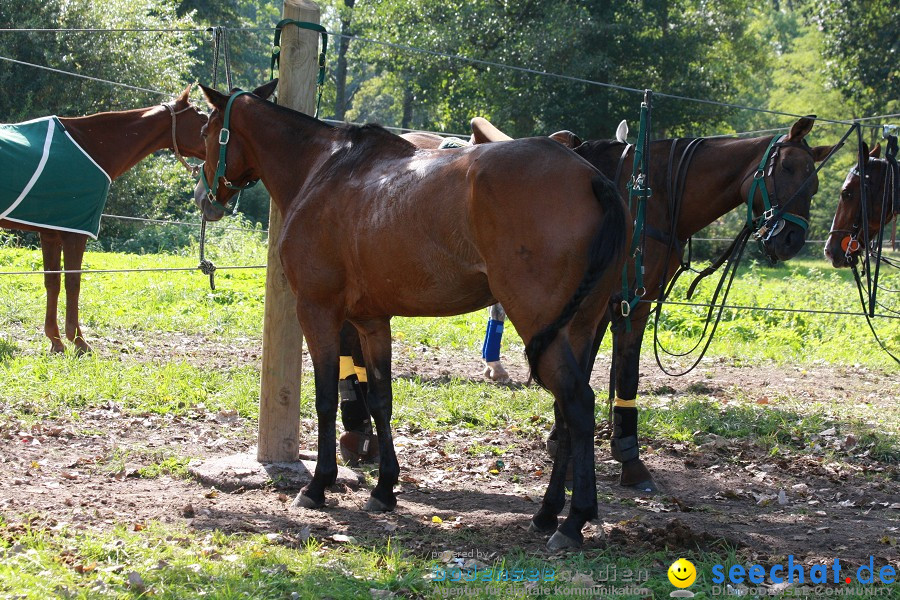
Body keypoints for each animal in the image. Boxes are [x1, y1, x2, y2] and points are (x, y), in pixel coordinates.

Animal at [0, 86, 206, 354]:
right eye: (202, 118)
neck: (91, 145)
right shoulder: (75, 232)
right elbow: (73, 282)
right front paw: (78, 341)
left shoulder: (51, 232)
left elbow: (52, 282)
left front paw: (56, 341)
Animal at [195, 82, 632, 552]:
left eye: (207, 131)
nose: (205, 197)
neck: (324, 169)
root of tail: (592, 178)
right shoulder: (371, 321)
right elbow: (380, 400)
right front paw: (385, 489)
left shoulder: (318, 311)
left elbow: (326, 398)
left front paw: (318, 485)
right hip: (579, 329)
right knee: (566, 412)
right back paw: (548, 513)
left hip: (539, 324)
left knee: (577, 404)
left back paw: (573, 521)